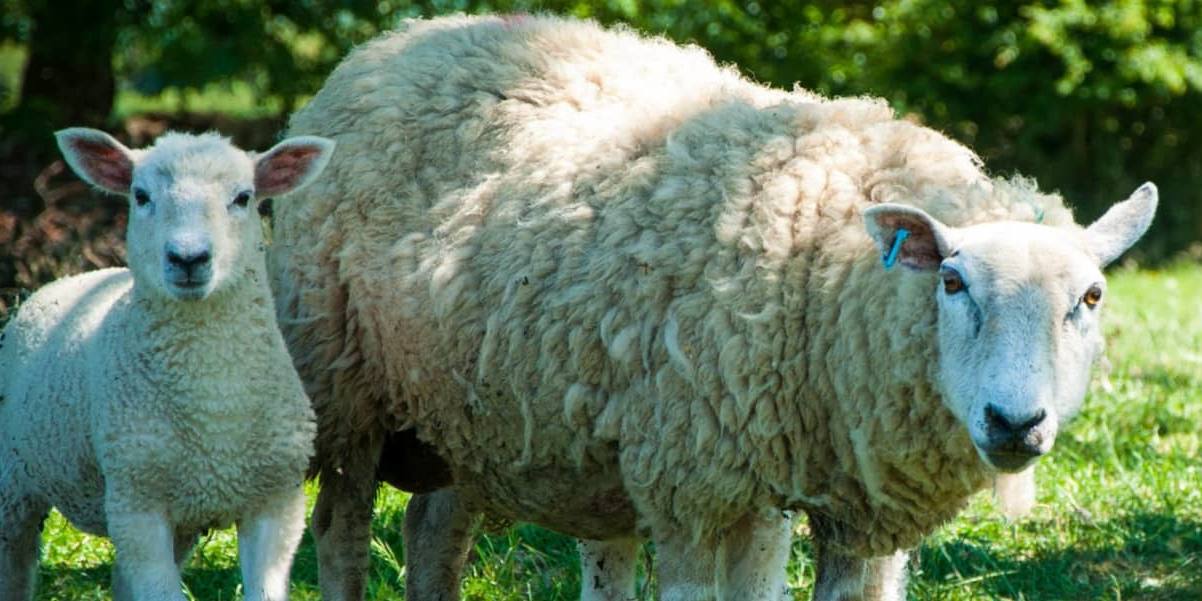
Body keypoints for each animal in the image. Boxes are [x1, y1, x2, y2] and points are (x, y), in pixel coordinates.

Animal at [0, 128, 334, 601]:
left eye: (244, 197)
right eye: (140, 196)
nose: (188, 258)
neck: (215, 406)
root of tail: (68, 278)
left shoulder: (276, 504)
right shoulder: (138, 504)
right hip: (15, 484)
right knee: (14, 563)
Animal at [266, 14, 1158, 600]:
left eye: (1090, 296)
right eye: (952, 283)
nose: (1016, 422)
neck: (825, 262)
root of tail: (400, 39)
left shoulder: (848, 507)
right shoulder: (694, 483)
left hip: (462, 410)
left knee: (432, 536)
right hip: (344, 392)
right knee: (341, 539)